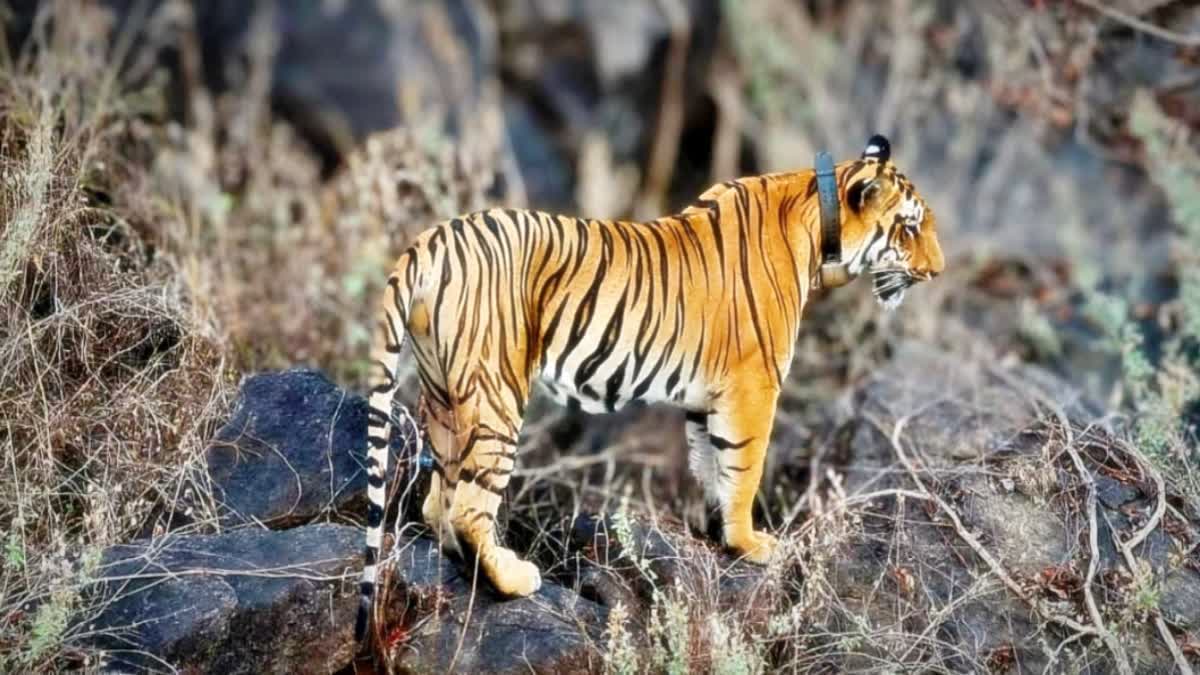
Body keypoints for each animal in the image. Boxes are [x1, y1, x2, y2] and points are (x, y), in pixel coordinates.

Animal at [354, 134, 944, 642]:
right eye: (910, 228)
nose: (939, 271)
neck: (818, 226)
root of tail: (434, 238)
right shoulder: (753, 387)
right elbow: (745, 469)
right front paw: (751, 543)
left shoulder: (709, 400)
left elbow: (712, 466)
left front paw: (713, 533)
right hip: (496, 393)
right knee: (469, 507)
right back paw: (515, 579)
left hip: (441, 394)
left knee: (437, 501)